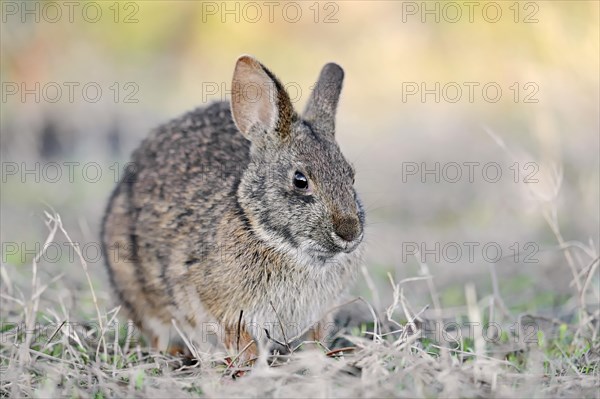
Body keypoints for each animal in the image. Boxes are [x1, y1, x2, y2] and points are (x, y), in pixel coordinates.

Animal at [101, 55, 366, 360]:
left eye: (350, 176)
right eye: (300, 181)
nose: (349, 233)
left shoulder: (320, 314)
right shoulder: (222, 308)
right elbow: (239, 338)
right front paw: (250, 363)